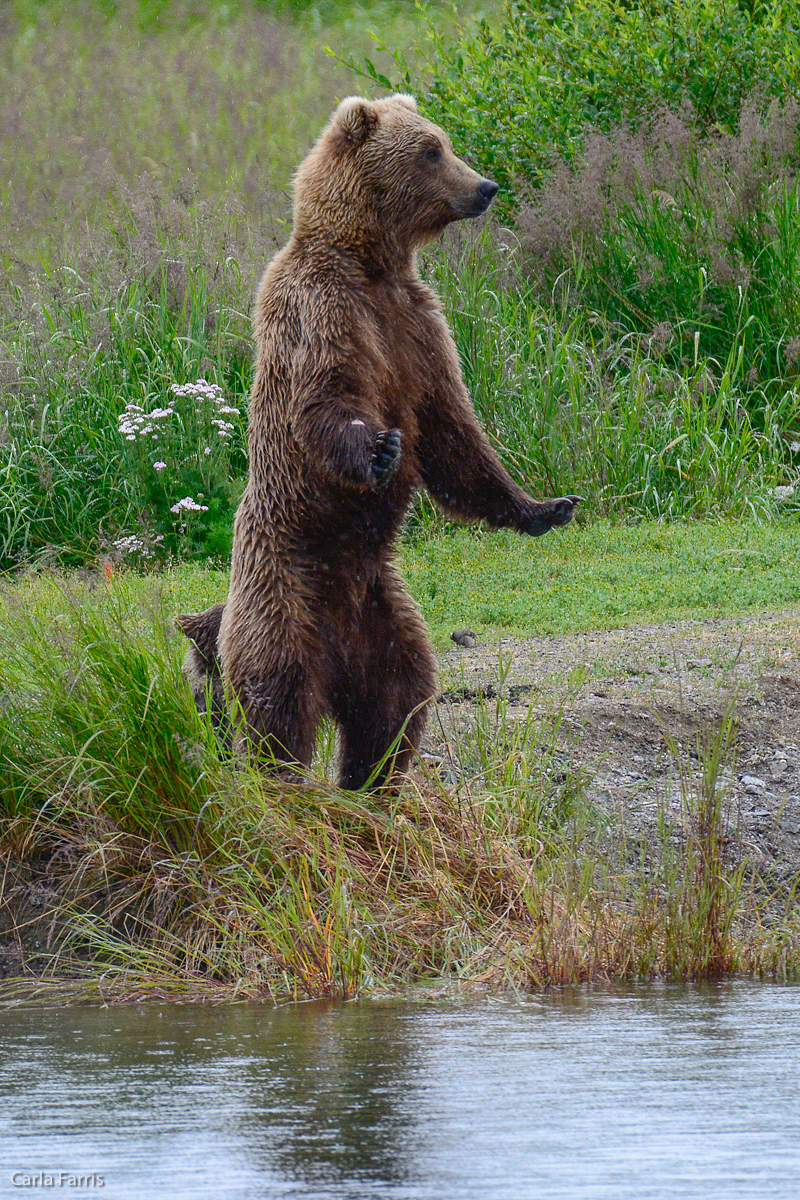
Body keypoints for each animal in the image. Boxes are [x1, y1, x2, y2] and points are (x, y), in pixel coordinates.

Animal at [178, 93, 582, 787]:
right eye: (431, 150)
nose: (485, 187)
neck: (369, 263)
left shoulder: (418, 327)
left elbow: (455, 437)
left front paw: (545, 507)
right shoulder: (323, 312)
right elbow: (324, 402)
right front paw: (379, 451)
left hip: (383, 613)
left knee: (398, 698)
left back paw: (371, 779)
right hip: (284, 594)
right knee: (279, 699)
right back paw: (284, 777)